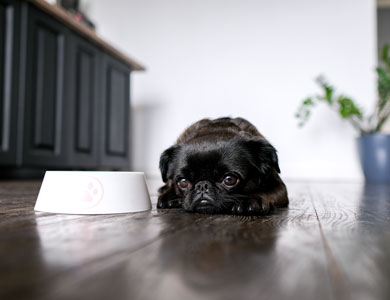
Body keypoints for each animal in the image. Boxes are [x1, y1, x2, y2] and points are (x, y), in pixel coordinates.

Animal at [157, 118, 288, 216]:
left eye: (229, 179)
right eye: (183, 182)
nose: (202, 185)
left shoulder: (279, 188)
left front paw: (251, 200)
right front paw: (169, 196)